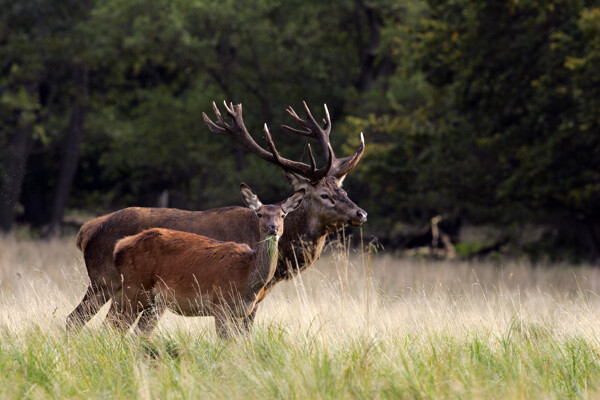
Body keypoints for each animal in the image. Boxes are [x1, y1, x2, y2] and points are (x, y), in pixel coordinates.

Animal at [112, 184, 302, 338]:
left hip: (155, 301)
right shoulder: (219, 303)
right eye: (260, 214)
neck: (246, 277)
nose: (273, 228)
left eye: (282, 215)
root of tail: (120, 246)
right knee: (118, 325)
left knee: (137, 332)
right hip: (134, 287)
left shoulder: (240, 313)